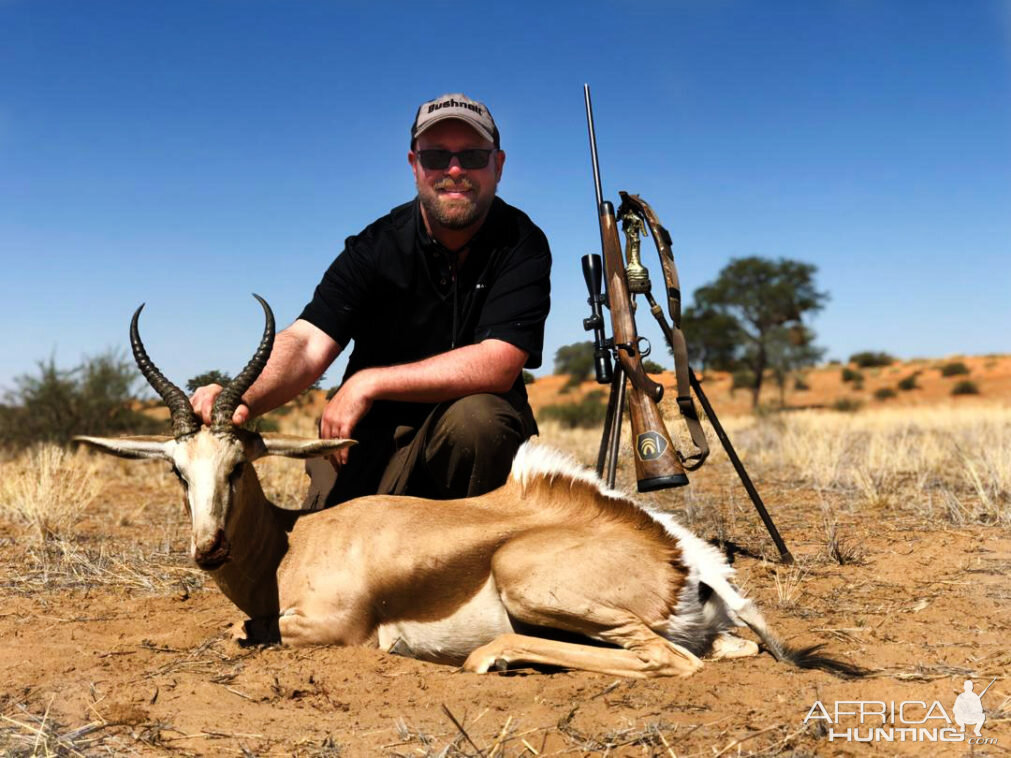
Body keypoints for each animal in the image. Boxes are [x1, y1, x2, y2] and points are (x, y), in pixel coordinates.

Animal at [76, 295, 861, 675]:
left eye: (239, 464)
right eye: (178, 471)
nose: (207, 549)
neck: (290, 547)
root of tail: (686, 563)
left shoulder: (330, 628)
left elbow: (252, 632)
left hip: (530, 584)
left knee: (667, 661)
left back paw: (493, 658)